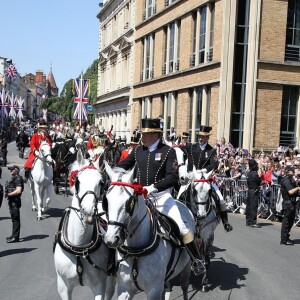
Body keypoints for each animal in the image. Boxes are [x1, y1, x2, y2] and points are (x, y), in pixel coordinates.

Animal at [53, 150, 115, 300]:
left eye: (101, 182)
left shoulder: (99, 286)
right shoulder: (63, 287)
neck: (79, 249)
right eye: (77, 181)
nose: (88, 212)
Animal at [103, 162, 193, 300]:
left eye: (129, 202)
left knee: (184, 286)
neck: (136, 250)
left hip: (186, 266)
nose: (111, 239)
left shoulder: (153, 290)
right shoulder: (125, 288)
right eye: (106, 201)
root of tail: (181, 204)